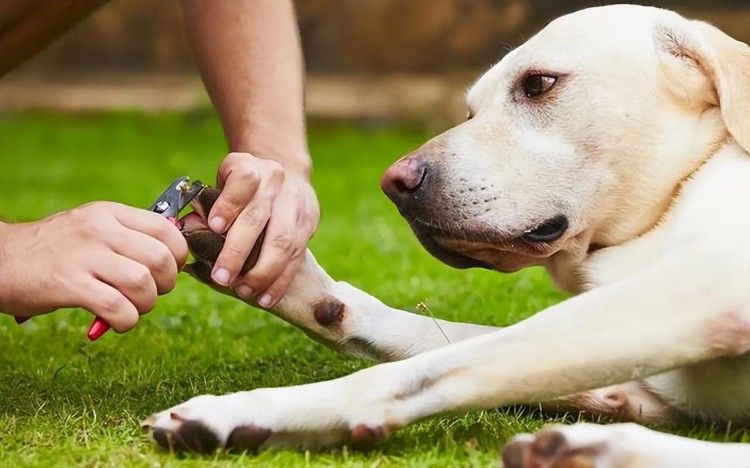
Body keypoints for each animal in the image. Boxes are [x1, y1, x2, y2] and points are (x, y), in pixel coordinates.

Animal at [144, 4, 748, 468]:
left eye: (539, 84)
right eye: (470, 110)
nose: (395, 183)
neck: (678, 189)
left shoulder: (702, 290)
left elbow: (419, 371)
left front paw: (247, 410)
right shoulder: (666, 373)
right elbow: (431, 337)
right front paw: (300, 287)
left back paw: (598, 449)